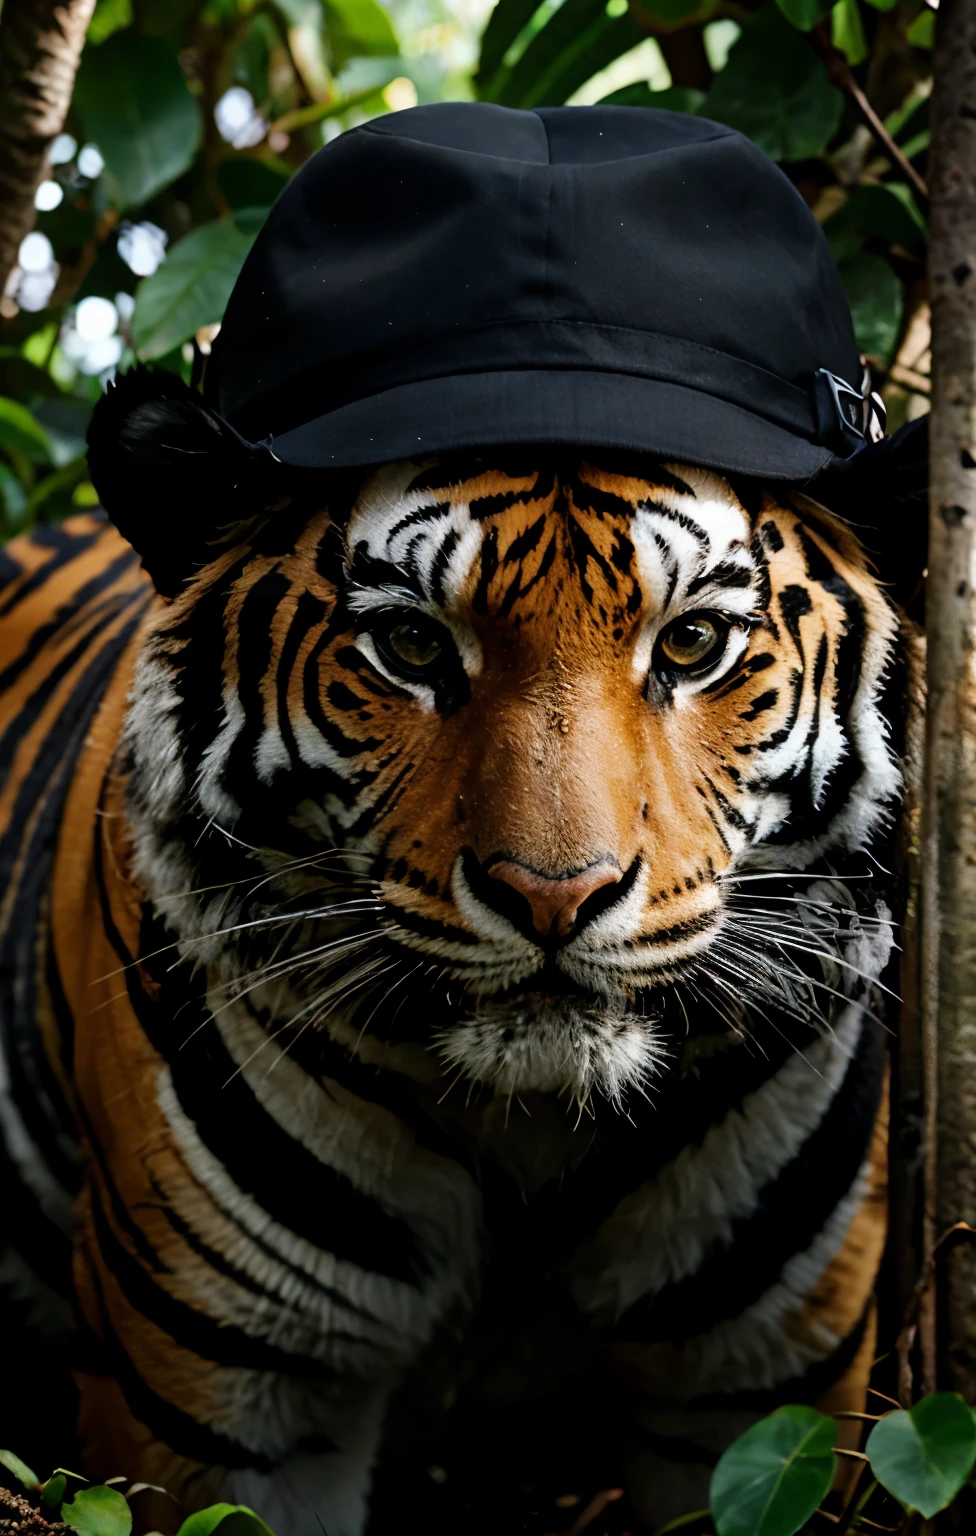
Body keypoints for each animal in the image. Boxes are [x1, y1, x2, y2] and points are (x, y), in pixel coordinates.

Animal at [0, 365, 922, 1529]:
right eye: (412, 646)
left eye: (690, 645)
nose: (554, 894)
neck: (530, 1125)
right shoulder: (215, 1404)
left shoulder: (760, 1393)